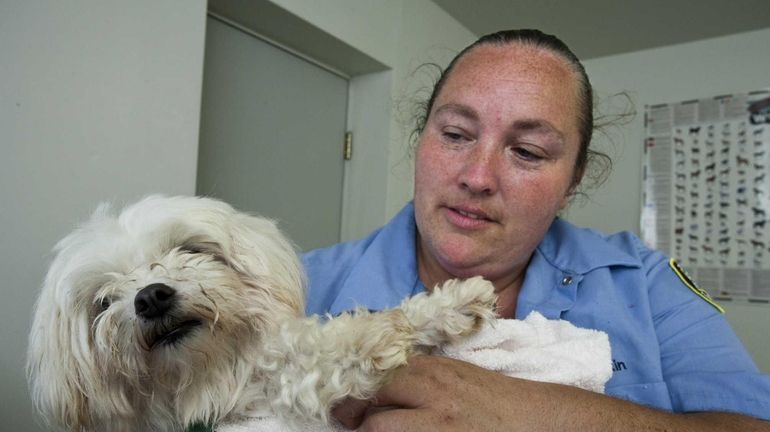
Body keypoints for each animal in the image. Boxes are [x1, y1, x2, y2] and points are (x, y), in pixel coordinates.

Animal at [27, 197, 496, 432]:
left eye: (190, 249)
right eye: (103, 301)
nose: (151, 297)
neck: (208, 380)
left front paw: (451, 304)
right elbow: (325, 353)